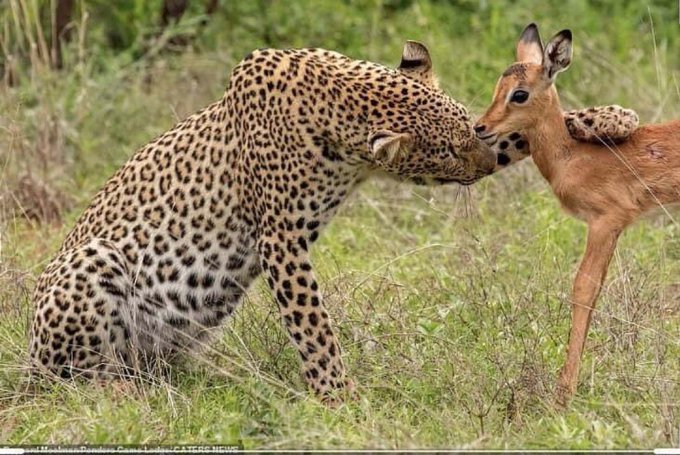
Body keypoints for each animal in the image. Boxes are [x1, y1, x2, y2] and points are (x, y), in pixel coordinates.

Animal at [28, 40, 639, 404]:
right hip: (91, 265)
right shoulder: (280, 240)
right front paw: (342, 400)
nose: (485, 161)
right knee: (77, 379)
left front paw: (610, 117)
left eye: (472, 126)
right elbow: (315, 328)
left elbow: (530, 132)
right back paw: (119, 393)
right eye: (444, 152)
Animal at [474, 23, 680, 406]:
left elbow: (584, 289)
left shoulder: (606, 222)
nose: (480, 127)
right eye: (498, 86)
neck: (571, 157)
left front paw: (563, 392)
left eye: (519, 94)